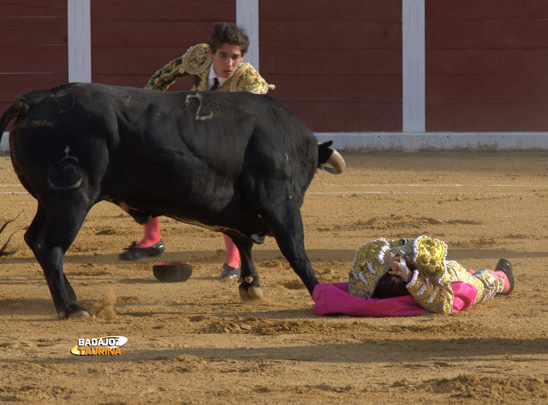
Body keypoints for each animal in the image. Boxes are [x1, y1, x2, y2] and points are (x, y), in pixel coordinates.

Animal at [0, 83, 344, 318]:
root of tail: (35, 99)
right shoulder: (281, 204)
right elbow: (296, 252)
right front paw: (319, 292)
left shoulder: (238, 213)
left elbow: (242, 242)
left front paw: (250, 285)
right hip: (71, 199)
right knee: (50, 245)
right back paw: (70, 308)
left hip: (49, 202)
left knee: (33, 239)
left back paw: (70, 296)